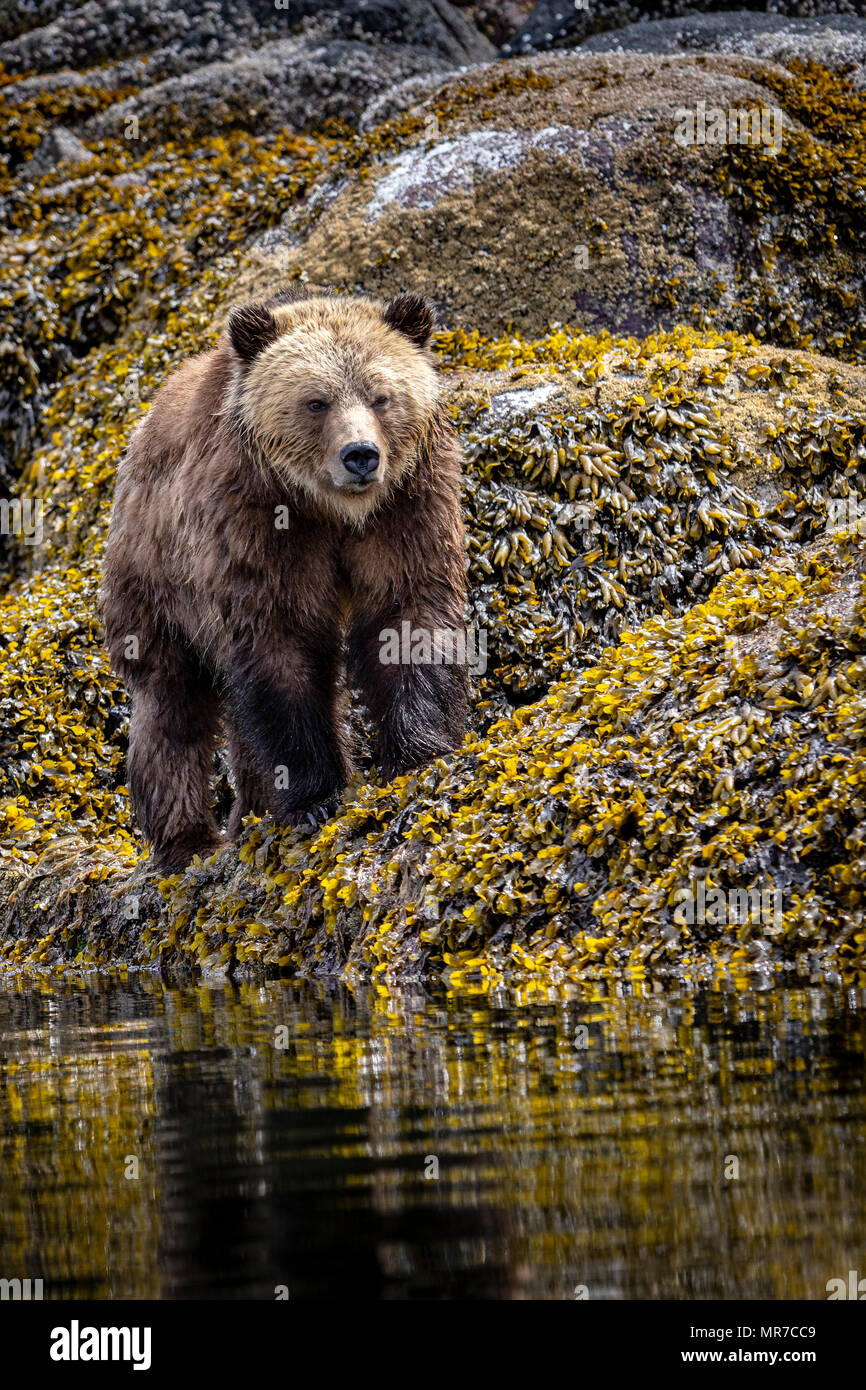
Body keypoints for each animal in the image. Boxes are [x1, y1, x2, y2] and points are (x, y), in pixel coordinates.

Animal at [100, 290, 475, 867]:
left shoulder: (407, 506)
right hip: (153, 581)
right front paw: (314, 799)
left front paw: (419, 755)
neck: (331, 512)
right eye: (316, 401)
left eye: (381, 396)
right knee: (170, 707)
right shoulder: (254, 525)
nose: (361, 455)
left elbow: (408, 618)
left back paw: (249, 813)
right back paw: (188, 841)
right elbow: (281, 646)